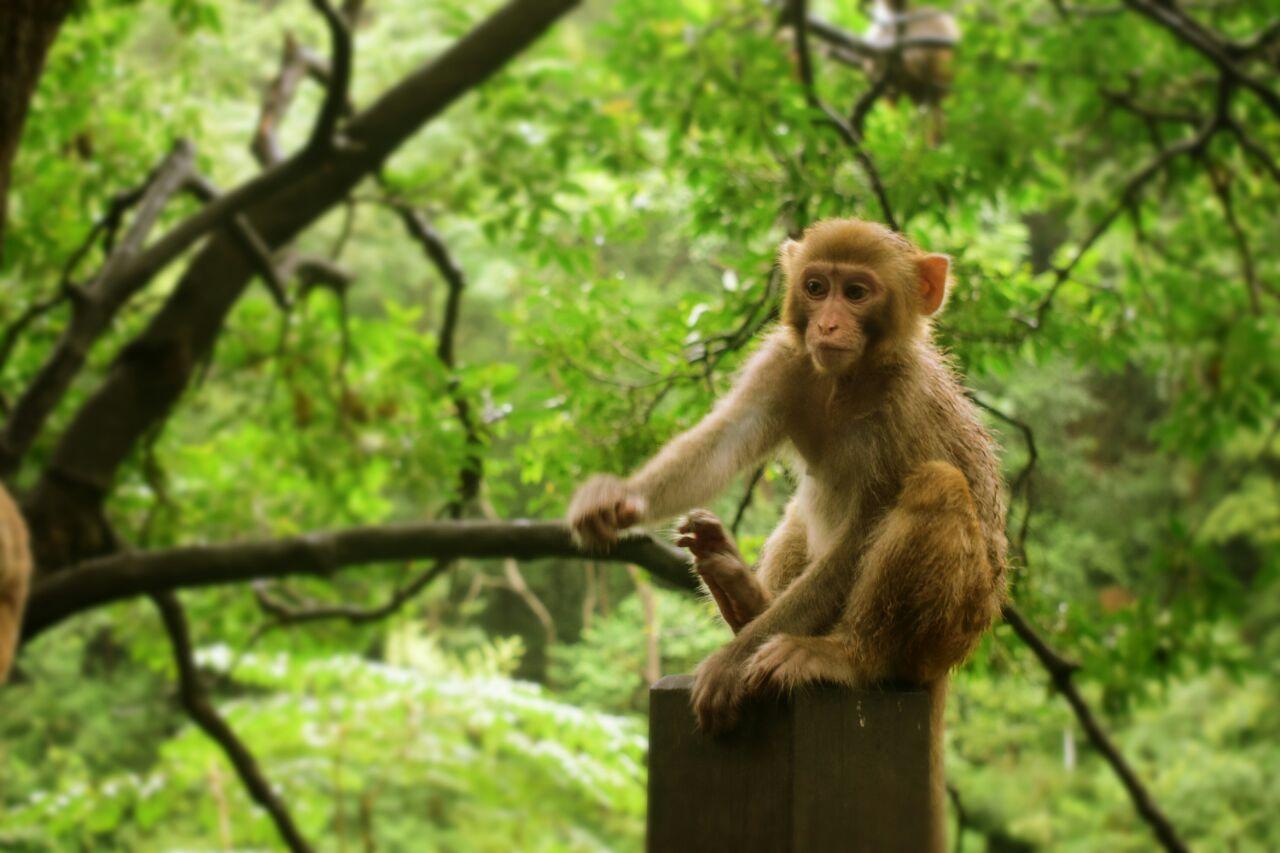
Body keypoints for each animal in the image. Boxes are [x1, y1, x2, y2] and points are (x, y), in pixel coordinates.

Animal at [573, 217, 1008, 845]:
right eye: (816, 287)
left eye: (857, 292)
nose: (827, 323)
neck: (849, 380)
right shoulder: (783, 362)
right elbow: (723, 442)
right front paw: (616, 501)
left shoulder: (905, 407)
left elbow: (863, 535)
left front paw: (731, 663)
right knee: (803, 515)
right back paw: (740, 590)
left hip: (956, 621)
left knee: (938, 484)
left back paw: (848, 655)